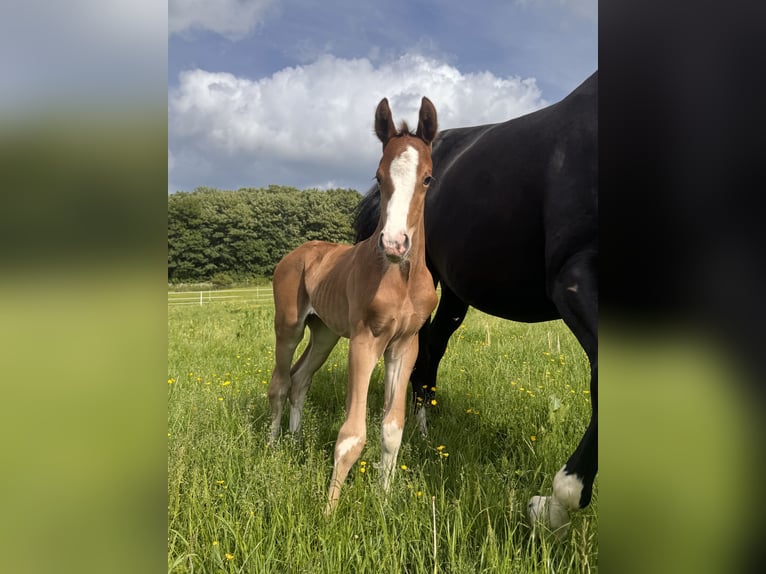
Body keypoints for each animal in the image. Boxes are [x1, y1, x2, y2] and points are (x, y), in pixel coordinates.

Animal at [268, 96, 439, 513]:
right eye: (378, 177)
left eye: (427, 178)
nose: (394, 243)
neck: (400, 278)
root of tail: (299, 252)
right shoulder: (364, 341)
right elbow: (351, 435)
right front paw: (329, 512)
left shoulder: (404, 346)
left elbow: (392, 429)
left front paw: (383, 500)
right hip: (290, 326)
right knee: (279, 382)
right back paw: (272, 446)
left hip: (325, 333)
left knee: (300, 380)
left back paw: (295, 441)